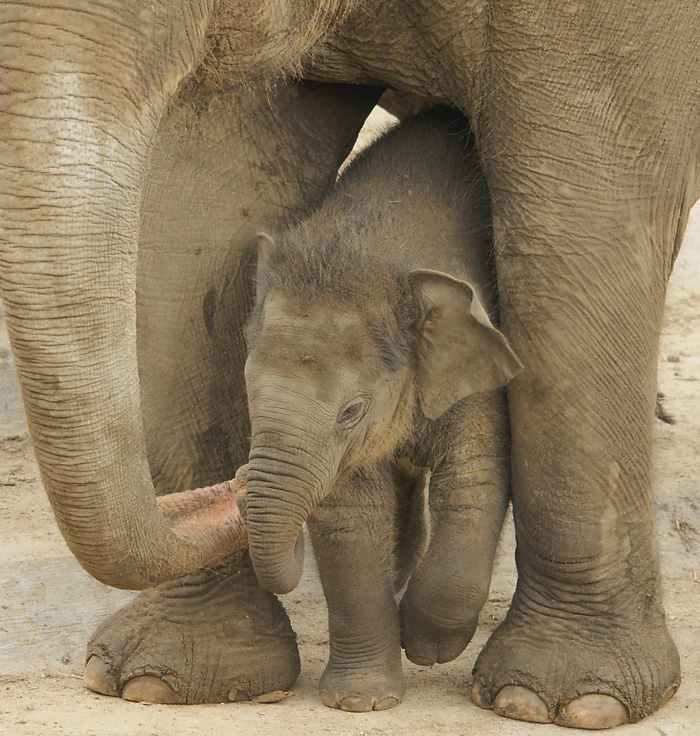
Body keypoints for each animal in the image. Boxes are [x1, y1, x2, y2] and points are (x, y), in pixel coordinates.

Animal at [242, 106, 520, 712]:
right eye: (248, 391)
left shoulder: (477, 357)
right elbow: (351, 514)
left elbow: (474, 479)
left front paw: (428, 647)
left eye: (351, 411)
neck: (364, 244)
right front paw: (361, 701)